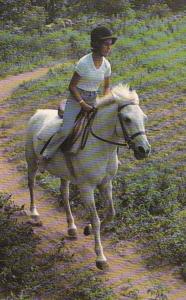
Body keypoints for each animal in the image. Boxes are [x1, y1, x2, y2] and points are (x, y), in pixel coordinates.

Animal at [25, 84, 150, 270]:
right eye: (127, 119)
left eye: (143, 117)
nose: (144, 150)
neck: (100, 146)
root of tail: (37, 113)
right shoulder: (87, 188)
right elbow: (96, 219)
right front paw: (100, 258)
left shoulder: (106, 184)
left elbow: (111, 213)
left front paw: (87, 229)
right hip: (32, 162)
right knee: (31, 184)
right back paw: (34, 214)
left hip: (64, 174)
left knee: (64, 195)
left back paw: (71, 228)